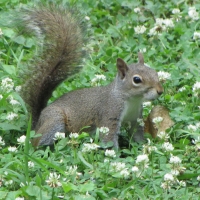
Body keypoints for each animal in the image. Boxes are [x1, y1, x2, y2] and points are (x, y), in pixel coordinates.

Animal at [18, 3, 163, 148]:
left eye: (155, 72)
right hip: (55, 121)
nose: (160, 91)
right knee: (37, 144)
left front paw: (143, 146)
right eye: (137, 79)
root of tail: (37, 123)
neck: (131, 99)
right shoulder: (109, 114)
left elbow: (136, 134)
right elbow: (109, 140)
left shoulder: (135, 117)